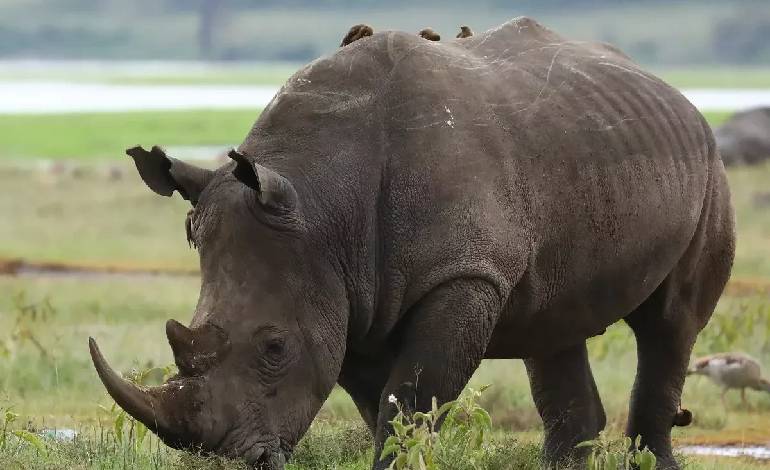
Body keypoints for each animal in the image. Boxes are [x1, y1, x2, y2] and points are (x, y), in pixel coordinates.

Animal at [89, 17, 735, 469]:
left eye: (274, 348)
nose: (229, 460)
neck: (322, 204)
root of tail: (674, 92)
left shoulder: (464, 273)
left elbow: (413, 396)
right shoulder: (349, 292)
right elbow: (380, 402)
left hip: (708, 167)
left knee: (669, 325)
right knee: (554, 326)